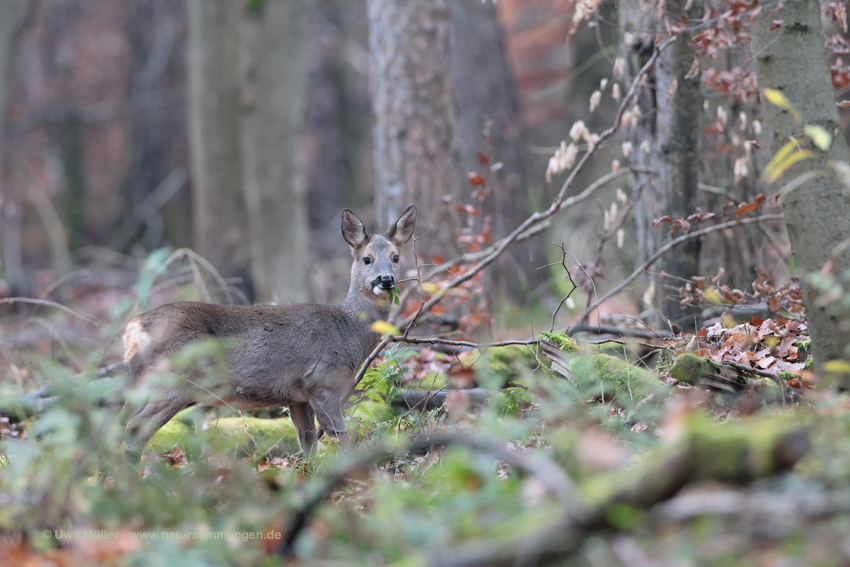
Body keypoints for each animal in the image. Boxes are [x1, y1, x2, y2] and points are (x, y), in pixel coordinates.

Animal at [123, 206, 418, 464]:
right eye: (367, 258)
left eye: (396, 257)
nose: (386, 280)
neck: (348, 329)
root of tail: (132, 329)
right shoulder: (323, 382)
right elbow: (339, 435)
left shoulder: (298, 395)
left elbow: (308, 442)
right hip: (173, 379)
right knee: (134, 427)